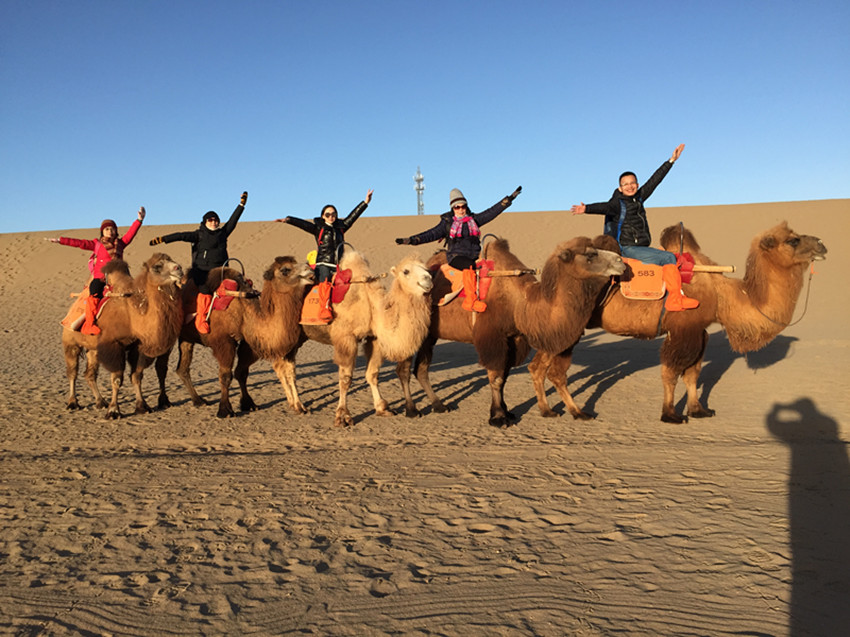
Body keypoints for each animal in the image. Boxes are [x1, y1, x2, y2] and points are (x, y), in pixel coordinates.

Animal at [95, 253, 184, 419]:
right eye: (157, 267)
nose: (178, 268)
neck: (133, 317)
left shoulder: (139, 346)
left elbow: (136, 376)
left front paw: (142, 406)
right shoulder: (113, 344)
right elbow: (117, 378)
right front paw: (113, 411)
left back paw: (99, 401)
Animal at [173, 256, 315, 418]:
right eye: (285, 269)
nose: (310, 269)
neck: (244, 311)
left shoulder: (249, 342)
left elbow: (241, 372)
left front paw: (249, 404)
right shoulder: (224, 342)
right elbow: (225, 375)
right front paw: (225, 410)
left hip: (186, 337)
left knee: (182, 368)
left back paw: (198, 400)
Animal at [397, 237, 625, 427]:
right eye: (590, 254)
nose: (621, 262)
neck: (520, 302)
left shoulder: (514, 339)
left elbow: (504, 377)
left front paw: (507, 412)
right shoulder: (492, 337)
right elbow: (496, 377)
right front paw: (498, 417)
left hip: (430, 335)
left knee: (421, 369)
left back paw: (439, 405)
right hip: (411, 327)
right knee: (405, 367)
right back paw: (411, 410)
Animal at [576, 222, 828, 423]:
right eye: (793, 240)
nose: (822, 244)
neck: (719, 293)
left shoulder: (699, 331)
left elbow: (693, 373)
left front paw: (699, 410)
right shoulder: (683, 330)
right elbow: (671, 372)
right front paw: (670, 414)